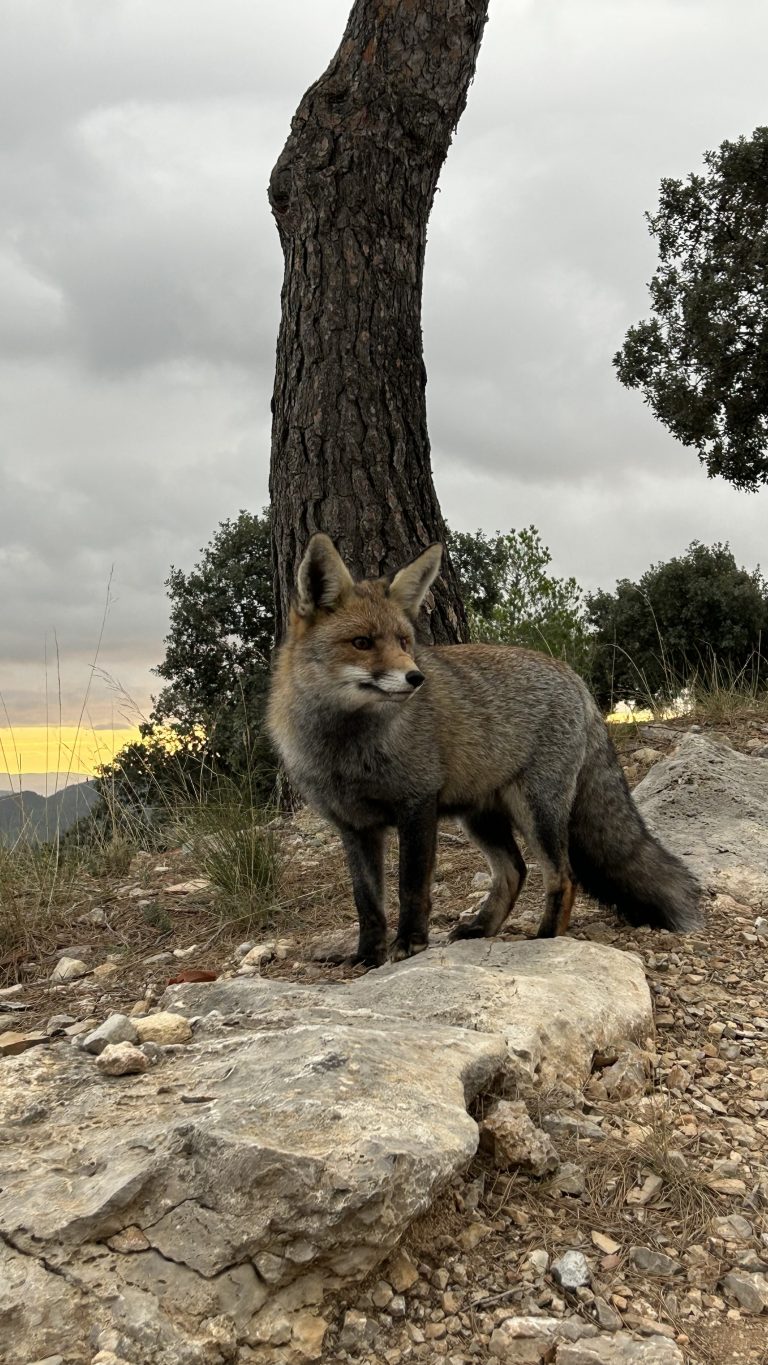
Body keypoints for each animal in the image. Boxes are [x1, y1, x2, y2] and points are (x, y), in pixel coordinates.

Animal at [267, 534, 703, 968]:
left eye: (404, 641)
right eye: (362, 643)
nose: (416, 677)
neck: (348, 751)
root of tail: (575, 679)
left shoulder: (417, 803)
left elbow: (411, 887)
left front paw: (410, 943)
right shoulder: (354, 826)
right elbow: (367, 903)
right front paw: (366, 955)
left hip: (536, 810)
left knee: (562, 876)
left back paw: (546, 937)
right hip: (479, 817)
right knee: (515, 872)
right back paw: (481, 928)